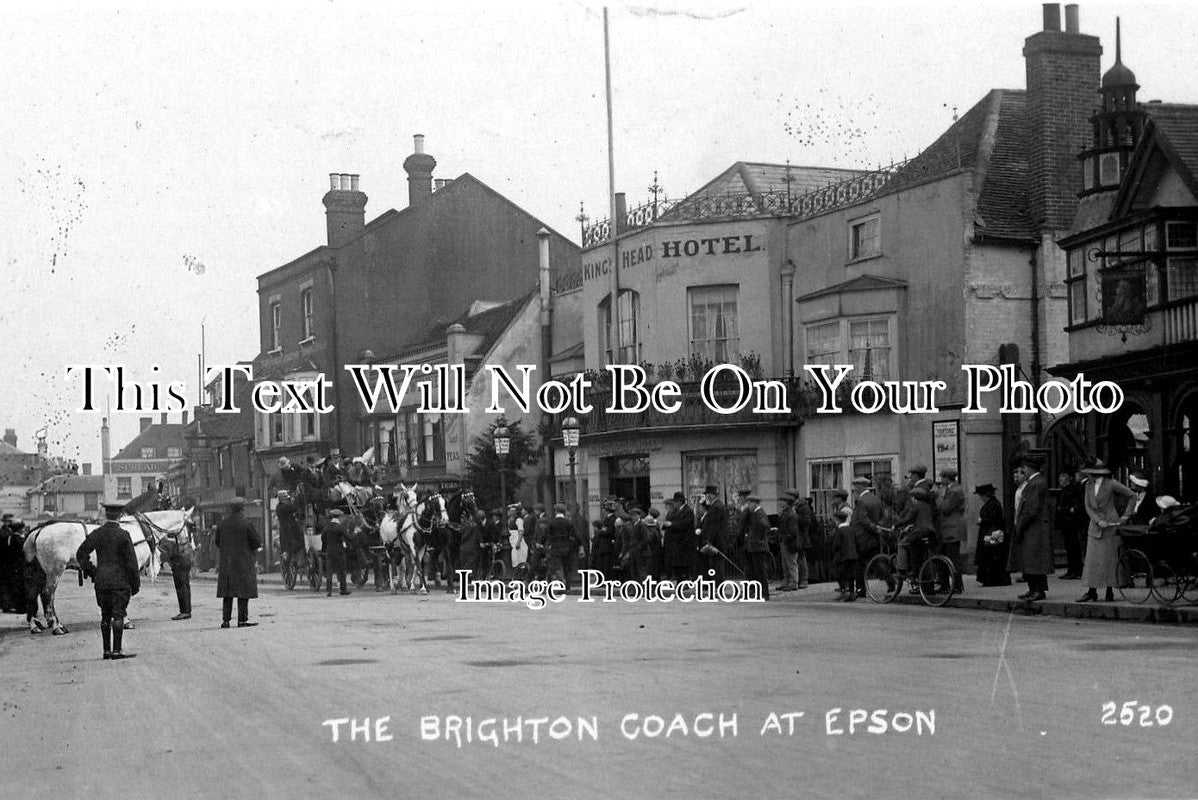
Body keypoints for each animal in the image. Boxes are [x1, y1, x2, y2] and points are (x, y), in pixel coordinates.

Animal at [21, 510, 194, 632]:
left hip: (40, 572)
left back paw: (37, 625)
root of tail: (39, 530)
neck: (141, 529)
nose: (189, 547)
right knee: (47, 595)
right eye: (191, 525)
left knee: (34, 594)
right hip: (55, 570)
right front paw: (125, 622)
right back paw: (57, 626)